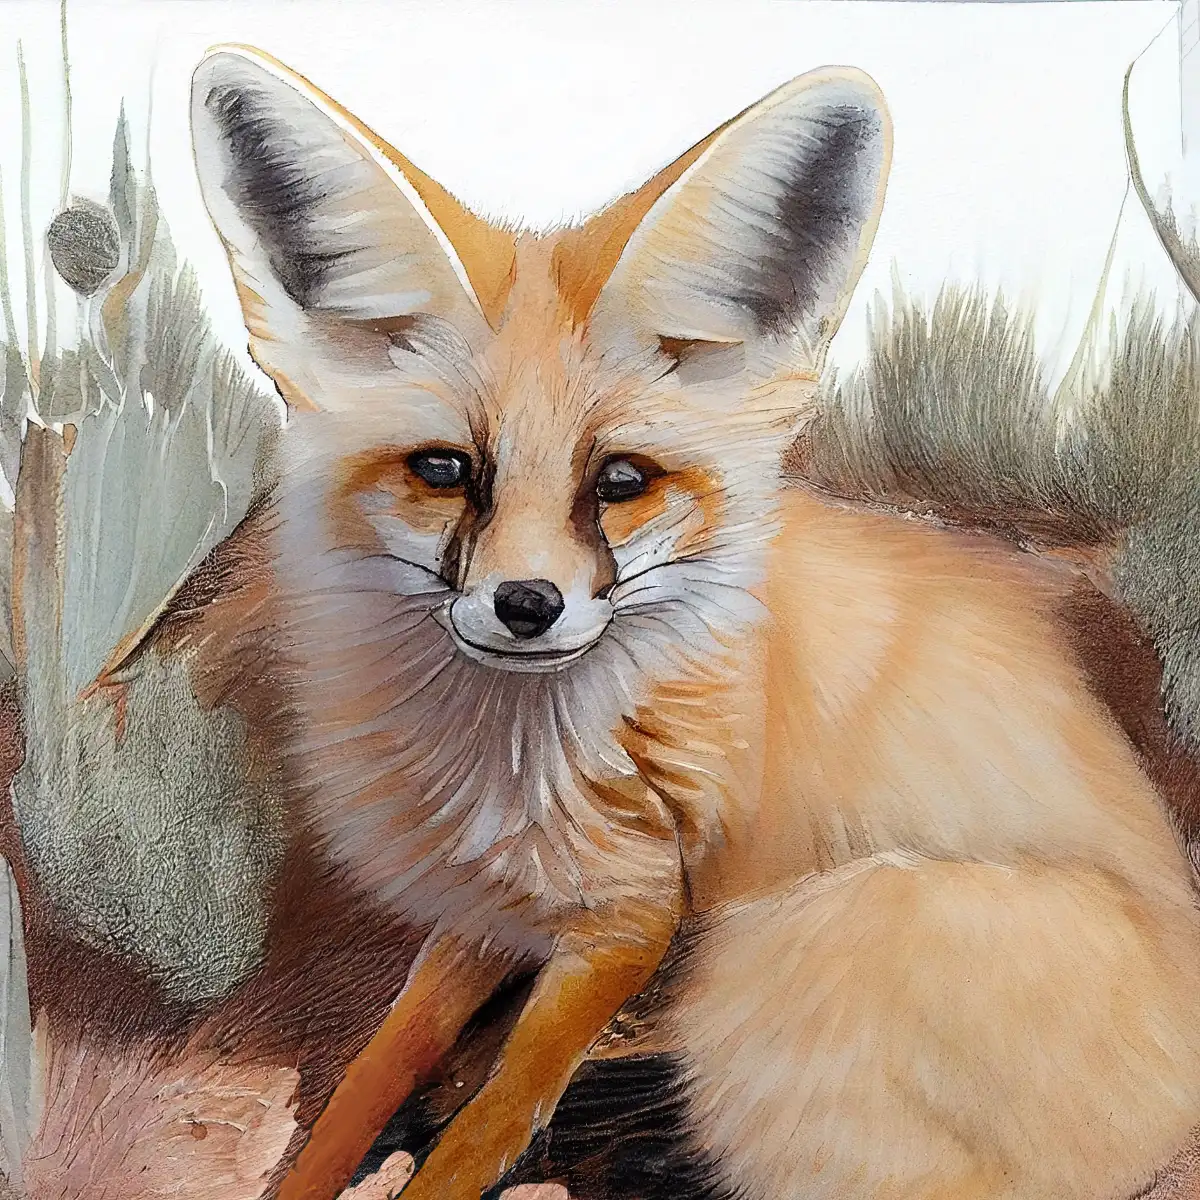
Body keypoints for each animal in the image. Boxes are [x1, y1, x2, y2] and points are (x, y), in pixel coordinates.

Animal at [188, 44, 1200, 1200]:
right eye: (445, 470)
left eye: (622, 481)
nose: (527, 607)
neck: (511, 760)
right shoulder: (498, 905)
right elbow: (372, 1074)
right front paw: (363, 1137)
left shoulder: (633, 915)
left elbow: (492, 1121)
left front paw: (463, 1140)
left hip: (789, 951)